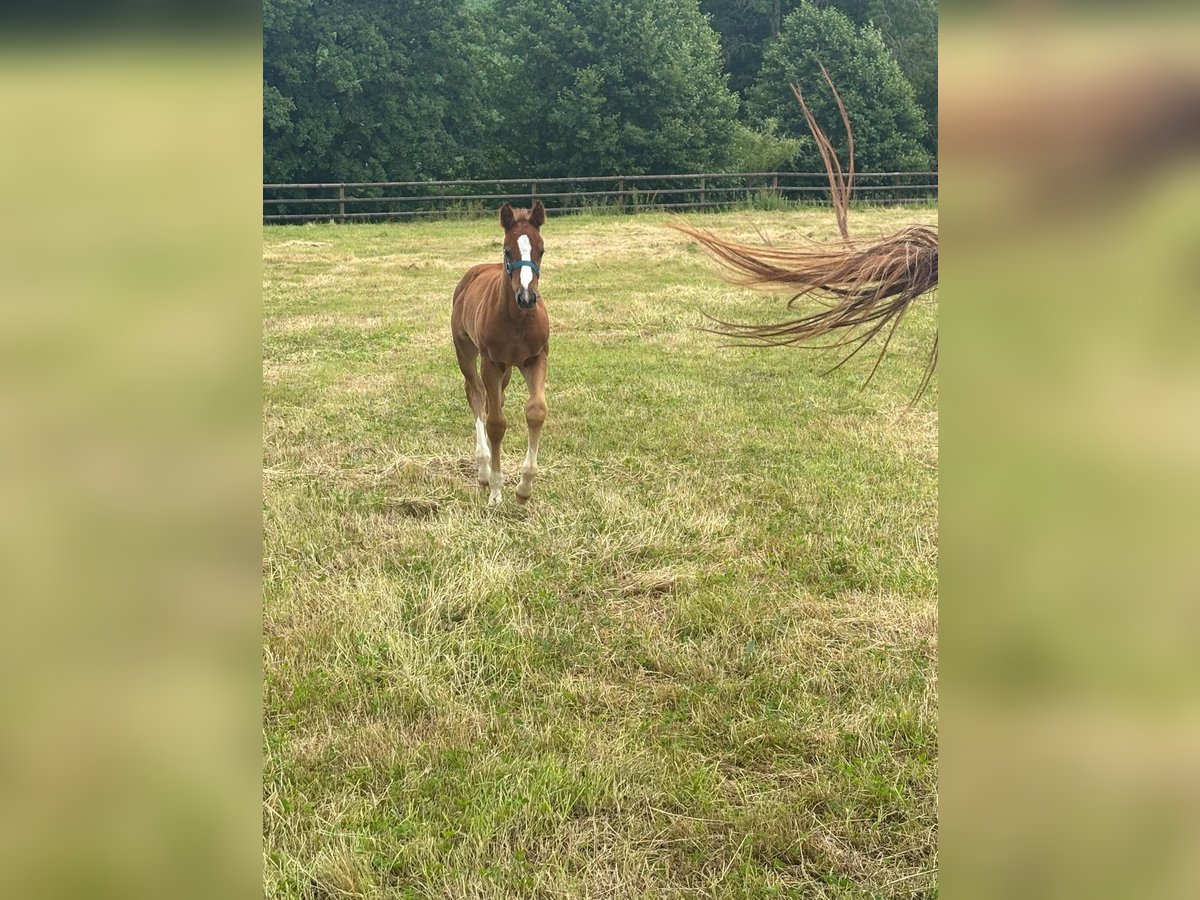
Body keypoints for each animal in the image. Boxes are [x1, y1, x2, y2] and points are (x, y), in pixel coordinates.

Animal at [451, 201, 549, 504]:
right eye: (507, 250)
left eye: (541, 249)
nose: (527, 297)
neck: (518, 320)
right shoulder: (491, 363)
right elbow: (495, 423)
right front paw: (496, 489)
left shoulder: (536, 358)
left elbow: (536, 411)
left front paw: (525, 486)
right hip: (467, 353)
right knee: (475, 395)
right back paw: (483, 468)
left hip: (507, 369)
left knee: (495, 399)